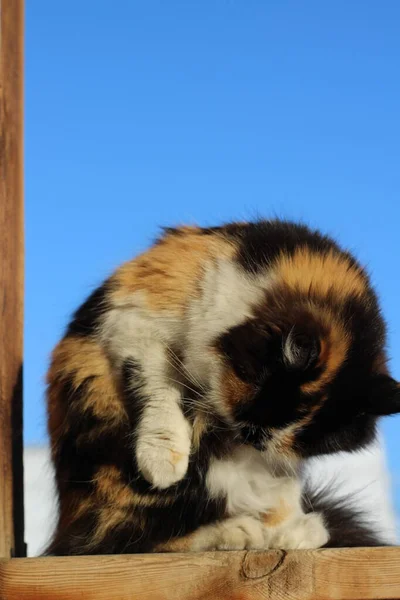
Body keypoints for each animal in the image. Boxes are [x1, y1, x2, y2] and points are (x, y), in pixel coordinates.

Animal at [44, 218, 400, 556]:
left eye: (290, 437)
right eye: (261, 406)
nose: (252, 438)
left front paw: (289, 530)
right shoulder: (134, 320)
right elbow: (156, 388)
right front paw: (164, 461)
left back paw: (294, 531)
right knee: (122, 539)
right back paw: (241, 531)